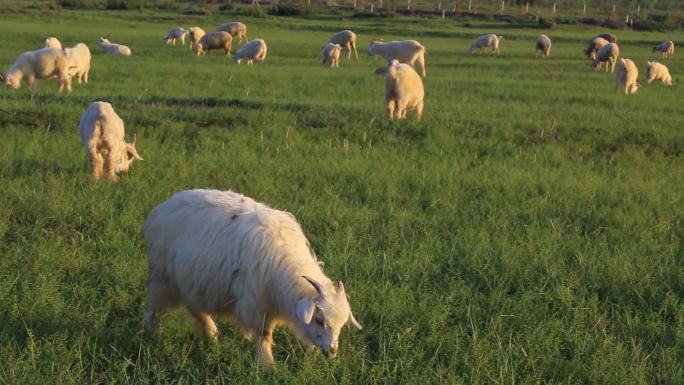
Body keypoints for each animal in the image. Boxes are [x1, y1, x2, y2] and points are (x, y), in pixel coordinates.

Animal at [143, 189, 364, 366]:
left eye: (342, 325)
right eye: (319, 319)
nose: (332, 352)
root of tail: (165, 205)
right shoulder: (257, 305)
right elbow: (263, 335)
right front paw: (268, 366)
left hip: (192, 280)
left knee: (194, 307)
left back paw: (211, 333)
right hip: (161, 275)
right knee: (153, 306)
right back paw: (151, 333)